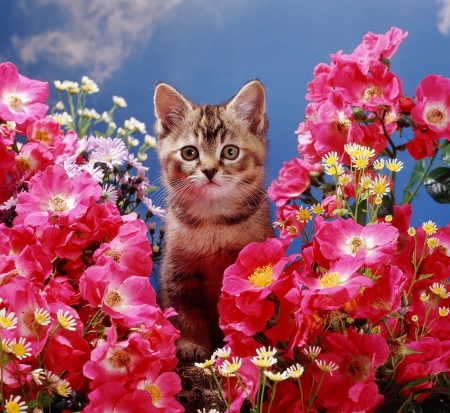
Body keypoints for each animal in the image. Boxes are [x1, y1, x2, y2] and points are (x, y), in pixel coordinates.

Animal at [154, 79, 274, 360]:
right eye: (189, 153)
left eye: (230, 151)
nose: (209, 171)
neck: (213, 220)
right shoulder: (178, 273)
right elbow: (187, 313)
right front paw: (192, 344)